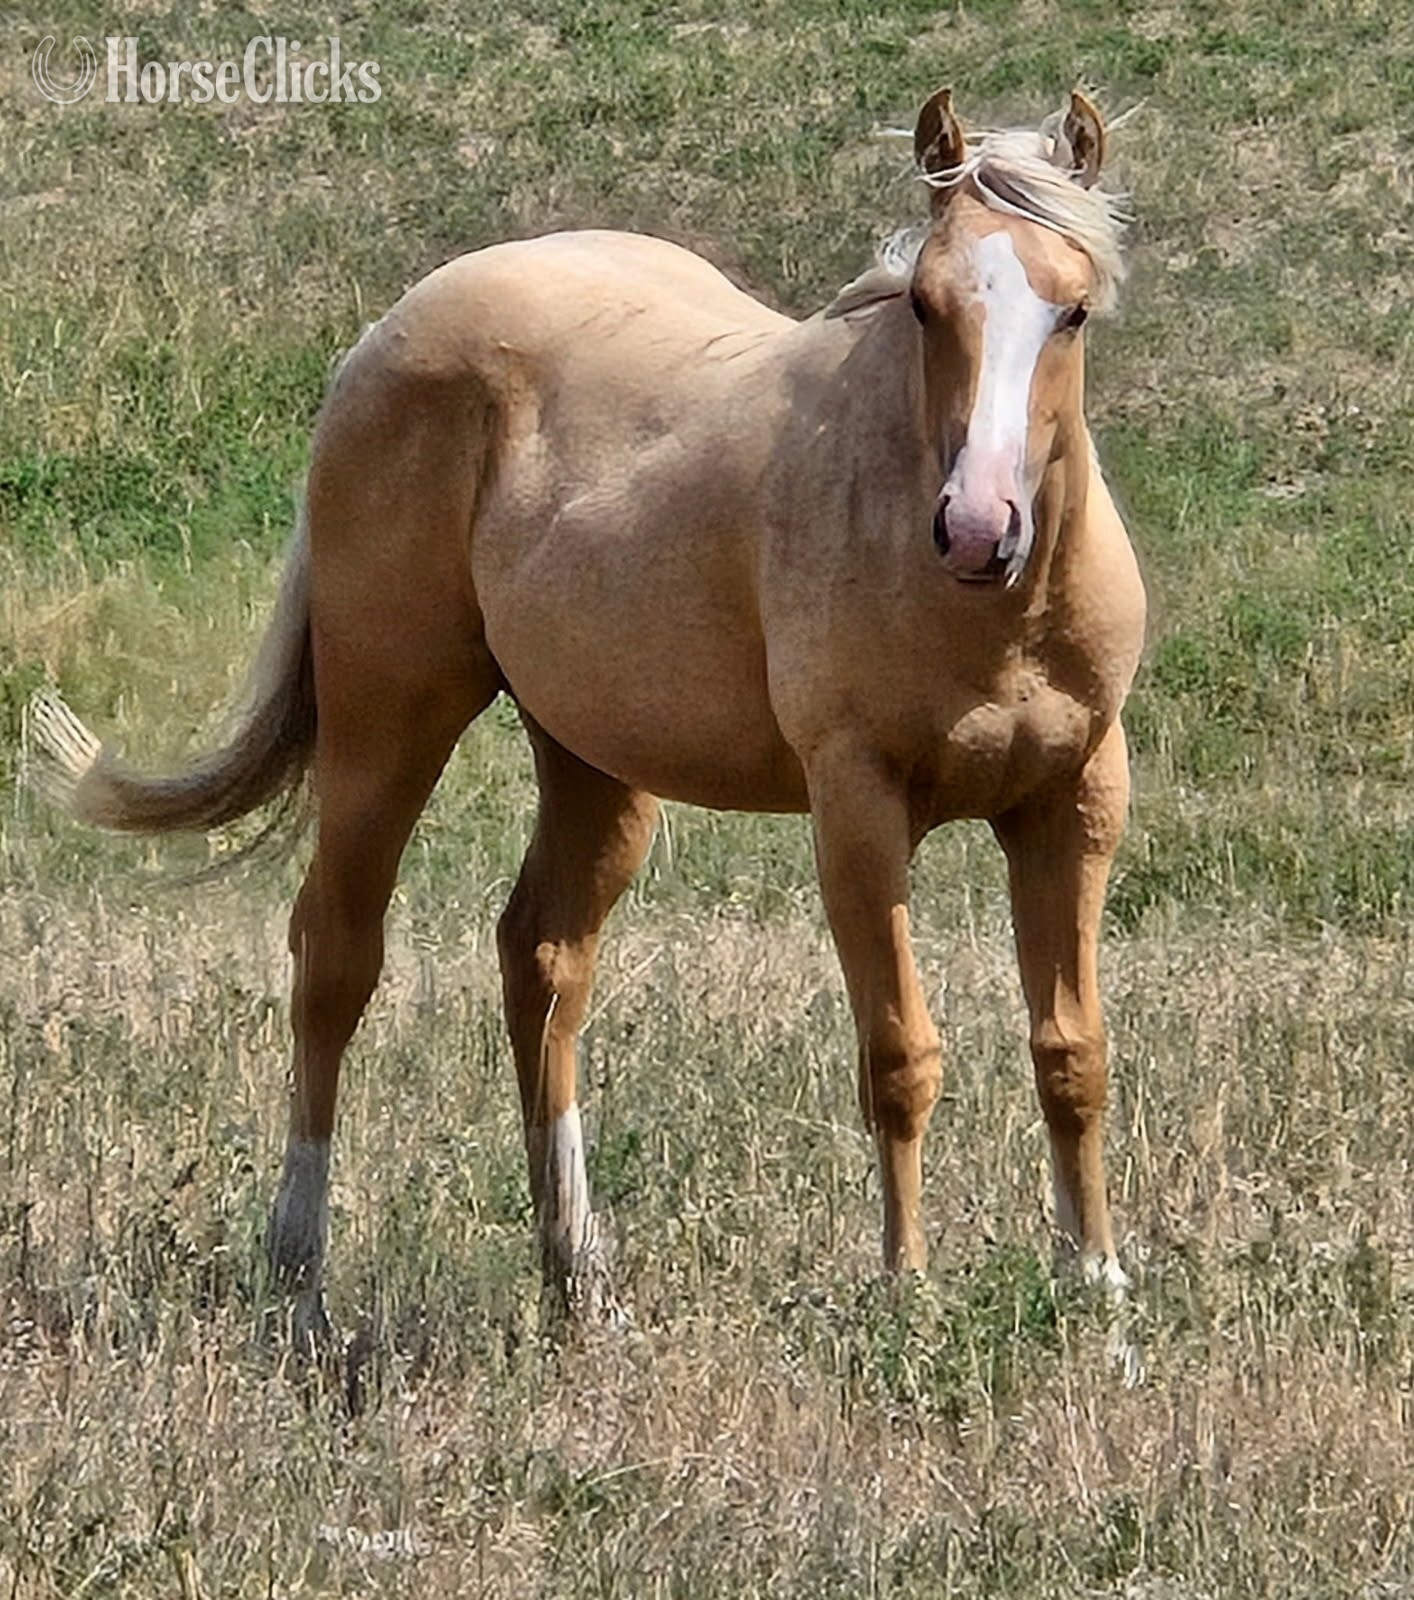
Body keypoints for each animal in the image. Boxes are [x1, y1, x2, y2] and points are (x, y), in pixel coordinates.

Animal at [31, 89, 1145, 1338]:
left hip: (593, 760)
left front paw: (1098, 1288)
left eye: (1073, 310)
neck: (986, 617)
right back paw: (300, 1274)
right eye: (926, 303)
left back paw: (579, 1275)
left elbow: (1072, 1049)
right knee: (335, 954)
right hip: (388, 716)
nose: (976, 527)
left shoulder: (1075, 800)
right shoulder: (858, 808)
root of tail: (387, 334)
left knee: (544, 962)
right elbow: (899, 1053)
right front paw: (906, 1294)